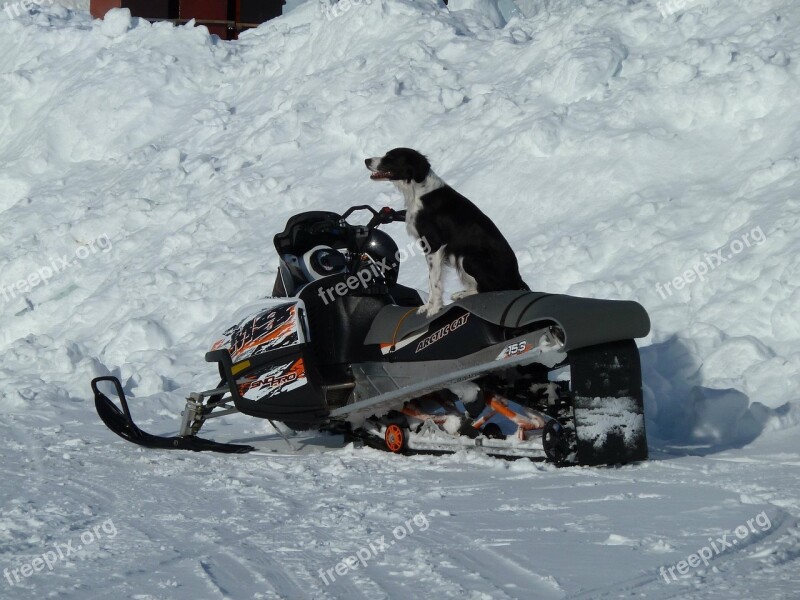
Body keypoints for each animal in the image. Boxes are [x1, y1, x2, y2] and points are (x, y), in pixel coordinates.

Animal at [366, 148, 528, 316]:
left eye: (390, 157)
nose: (366, 161)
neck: (418, 191)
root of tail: (517, 280)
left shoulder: (434, 245)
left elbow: (434, 281)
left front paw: (434, 308)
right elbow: (431, 280)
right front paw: (427, 306)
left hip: (468, 258)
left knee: (490, 289)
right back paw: (461, 294)